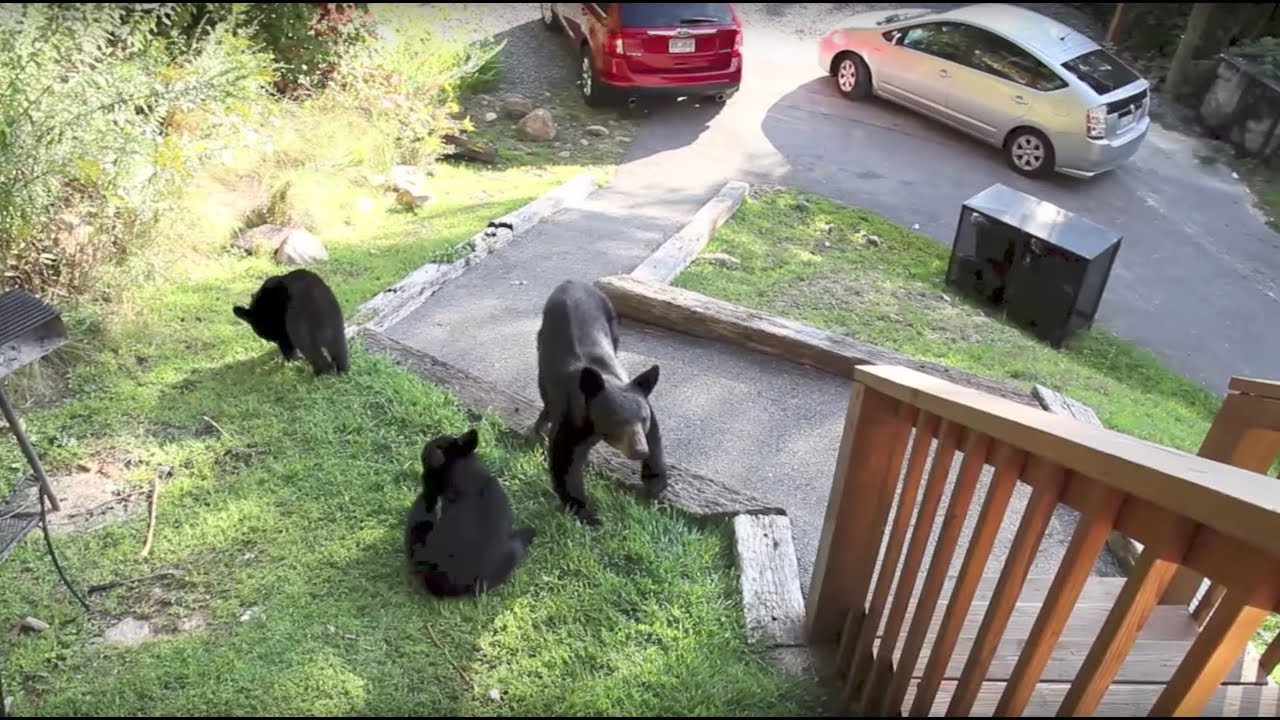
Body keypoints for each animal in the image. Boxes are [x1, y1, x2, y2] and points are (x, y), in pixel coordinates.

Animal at [532, 279, 668, 527]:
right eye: (615, 419)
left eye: (642, 419)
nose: (639, 450)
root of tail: (571, 282)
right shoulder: (572, 419)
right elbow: (565, 461)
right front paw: (587, 514)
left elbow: (655, 438)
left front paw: (655, 484)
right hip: (543, 341)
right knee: (545, 390)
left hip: (612, 322)